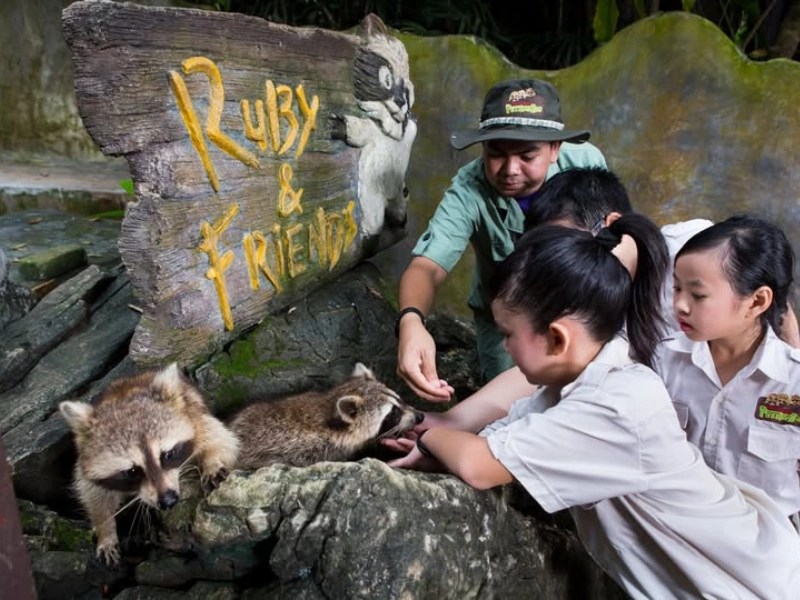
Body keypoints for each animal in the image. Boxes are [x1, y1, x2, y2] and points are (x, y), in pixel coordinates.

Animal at [59, 363, 239, 566]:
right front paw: (105, 529)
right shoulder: (86, 462)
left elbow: (222, 440)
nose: (168, 501)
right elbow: (93, 494)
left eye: (168, 454)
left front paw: (212, 463)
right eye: (132, 471)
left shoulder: (195, 417)